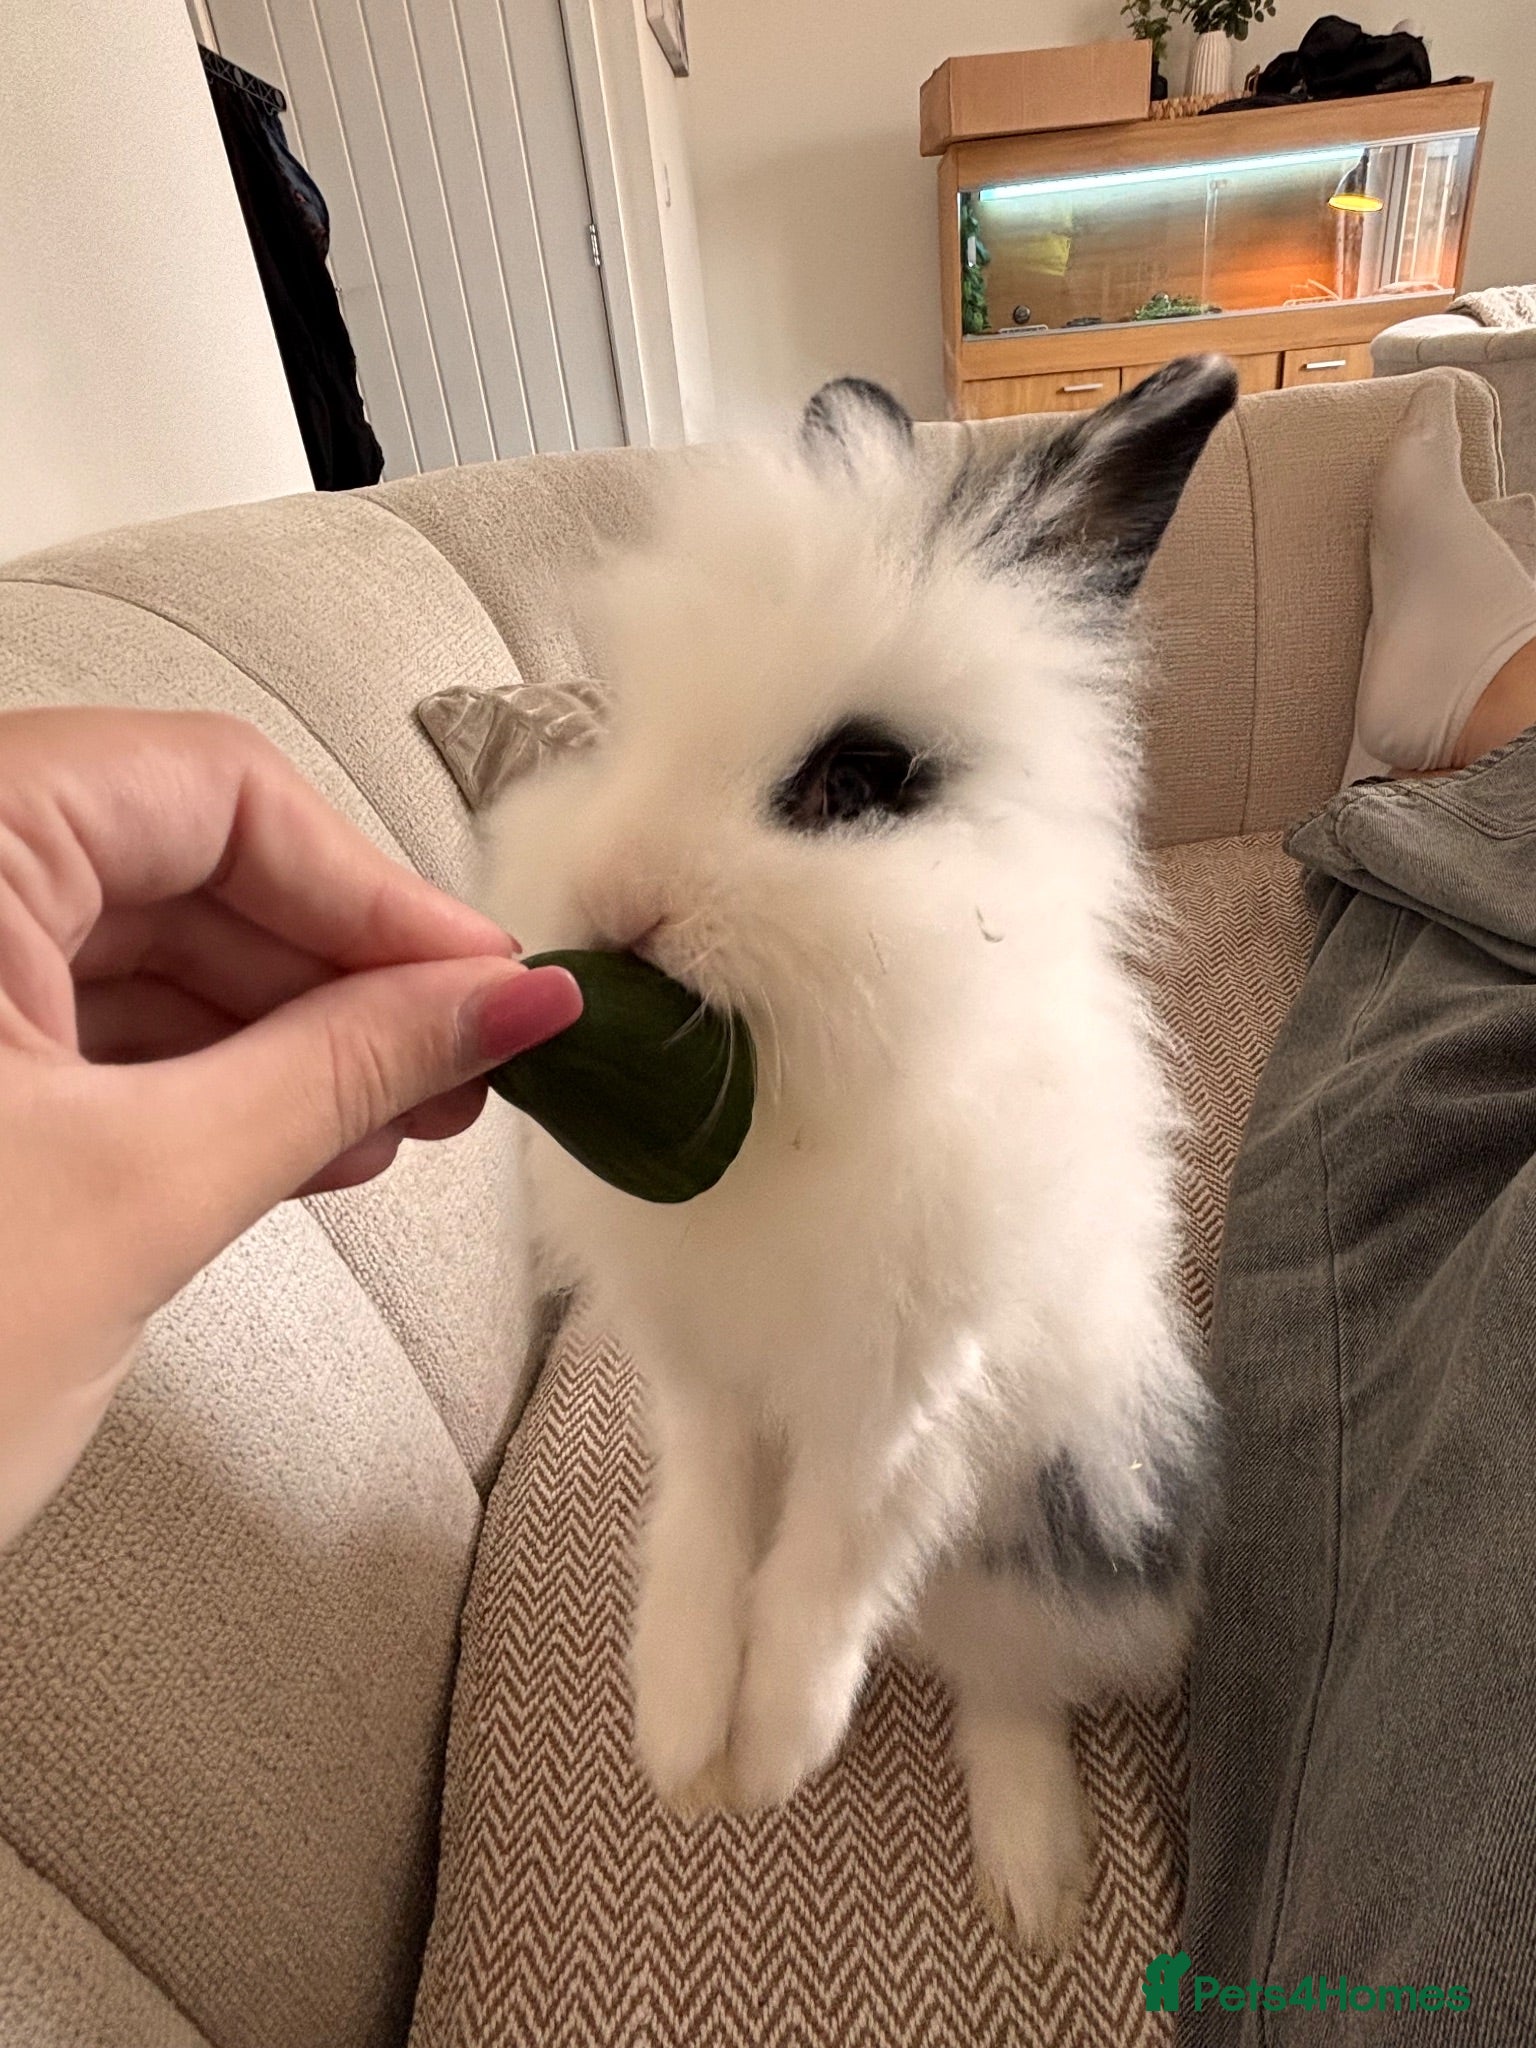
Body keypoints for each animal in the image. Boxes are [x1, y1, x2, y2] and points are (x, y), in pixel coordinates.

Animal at [480, 354, 1238, 1949]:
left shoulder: (905, 1403)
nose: (618, 895)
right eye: (625, 721)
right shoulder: (703, 1383)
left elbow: (825, 1569)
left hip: (1056, 1526)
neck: (790, 1113)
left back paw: (1035, 1884)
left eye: (860, 776)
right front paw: (682, 1741)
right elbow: (709, 1536)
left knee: (1009, 1683)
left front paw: (771, 1752)